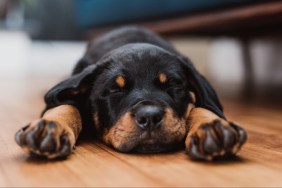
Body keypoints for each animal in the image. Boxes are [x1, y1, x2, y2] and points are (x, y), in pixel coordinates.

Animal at [14, 26, 247, 161]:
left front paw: (212, 128)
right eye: (115, 89)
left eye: (172, 86)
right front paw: (48, 128)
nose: (150, 117)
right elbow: (66, 105)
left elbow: (200, 107)